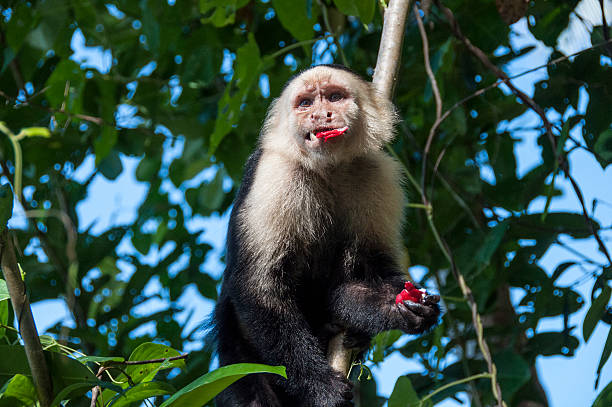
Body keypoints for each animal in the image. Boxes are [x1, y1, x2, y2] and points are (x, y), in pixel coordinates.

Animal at [213, 65, 438, 406]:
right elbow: (259, 286)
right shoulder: (275, 174)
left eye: (334, 97)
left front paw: (396, 306)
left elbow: (371, 265)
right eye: (305, 103)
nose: (321, 115)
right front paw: (320, 386)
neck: (328, 168)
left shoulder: (377, 172)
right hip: (236, 356)